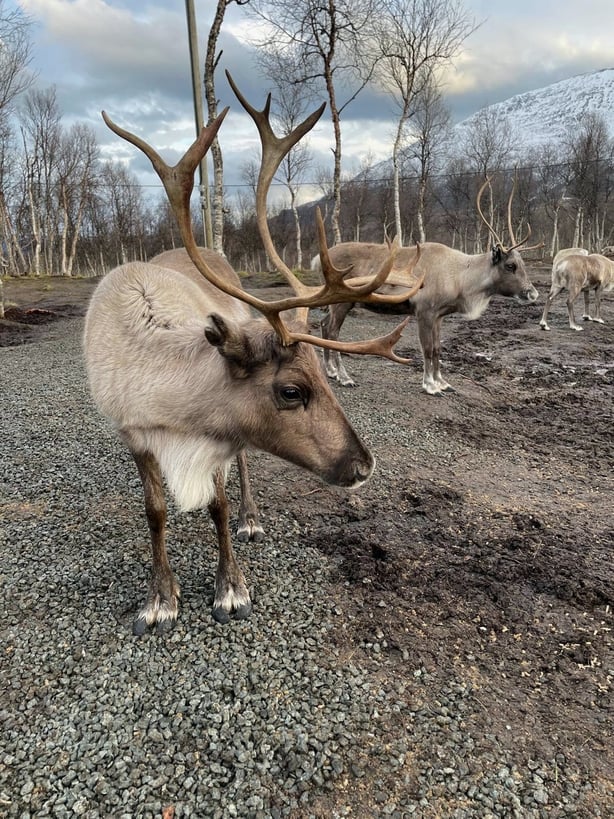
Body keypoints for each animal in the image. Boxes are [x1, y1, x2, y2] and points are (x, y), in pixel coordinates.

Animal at [83, 73, 424, 635]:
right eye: (291, 390)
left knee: (242, 466)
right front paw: (160, 600)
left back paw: (251, 518)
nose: (365, 464)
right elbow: (155, 512)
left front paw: (231, 588)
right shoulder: (133, 432)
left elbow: (218, 507)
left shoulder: (217, 435)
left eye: (325, 378)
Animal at [314, 179, 540, 395]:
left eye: (523, 263)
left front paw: (443, 383)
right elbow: (428, 349)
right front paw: (430, 385)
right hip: (342, 300)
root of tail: (319, 259)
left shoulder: (439, 315)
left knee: (324, 325)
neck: (459, 276)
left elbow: (438, 348)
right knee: (333, 332)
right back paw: (344, 377)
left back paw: (331, 371)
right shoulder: (424, 312)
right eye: (510, 265)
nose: (533, 293)